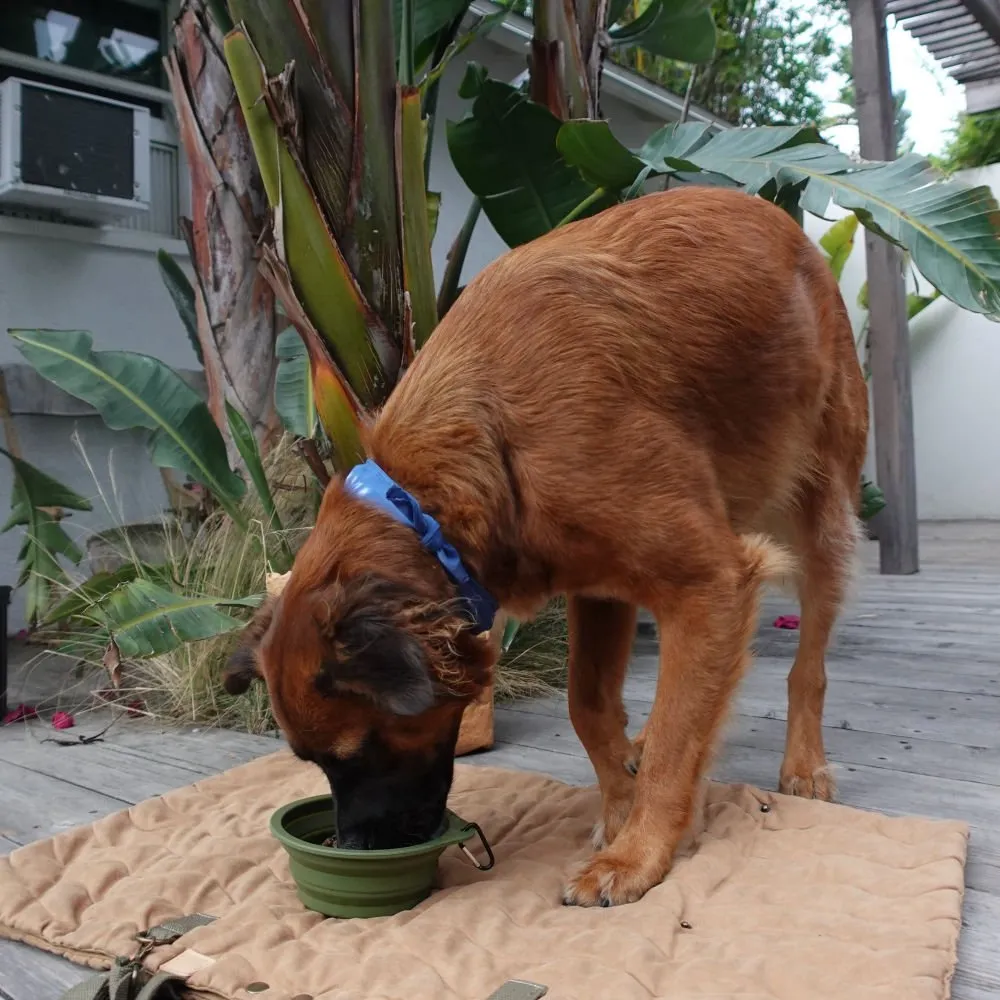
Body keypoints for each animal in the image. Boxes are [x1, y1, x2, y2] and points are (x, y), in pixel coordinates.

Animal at [225, 186, 868, 908]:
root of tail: (791, 229)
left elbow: (677, 743)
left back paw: (805, 763)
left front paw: (637, 854)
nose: (354, 849)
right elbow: (587, 704)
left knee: (807, 663)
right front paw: (620, 804)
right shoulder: (598, 586)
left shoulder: (711, 581)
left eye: (358, 751)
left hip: (820, 514)